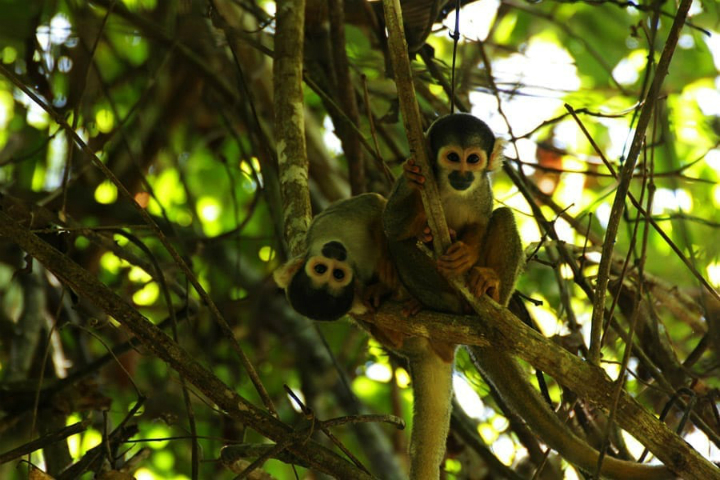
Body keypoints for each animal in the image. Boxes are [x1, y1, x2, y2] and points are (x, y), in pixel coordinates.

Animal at [276, 192, 400, 322]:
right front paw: (382, 289)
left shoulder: (322, 222)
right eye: (338, 274)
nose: (335, 253)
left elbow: (375, 202)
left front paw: (387, 259)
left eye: (320, 269)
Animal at [386, 114, 672, 478]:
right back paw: (427, 292)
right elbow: (392, 226)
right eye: (452, 157)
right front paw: (414, 179)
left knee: (503, 217)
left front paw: (464, 253)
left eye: (472, 159)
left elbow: (482, 222)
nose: (462, 175)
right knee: (399, 243)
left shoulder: (482, 192)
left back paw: (490, 289)